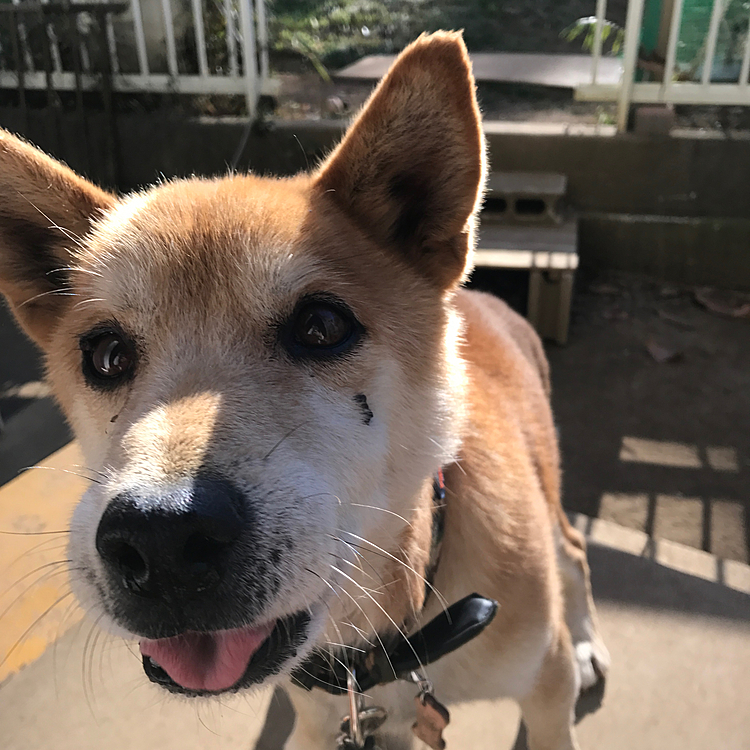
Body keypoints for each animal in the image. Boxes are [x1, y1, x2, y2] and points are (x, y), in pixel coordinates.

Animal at [0, 32, 612, 748]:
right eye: (106, 354)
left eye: (321, 327)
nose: (161, 538)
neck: (378, 649)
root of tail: (483, 299)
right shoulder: (322, 722)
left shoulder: (543, 689)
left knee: (575, 551)